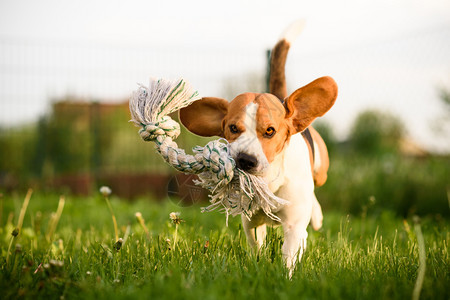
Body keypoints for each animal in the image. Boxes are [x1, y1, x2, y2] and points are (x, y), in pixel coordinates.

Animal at [179, 22, 338, 274]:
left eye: (270, 131)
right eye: (233, 128)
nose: (245, 160)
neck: (269, 181)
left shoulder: (293, 224)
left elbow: (289, 254)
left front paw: (285, 276)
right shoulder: (251, 222)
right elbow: (257, 246)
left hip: (320, 171)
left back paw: (317, 215)